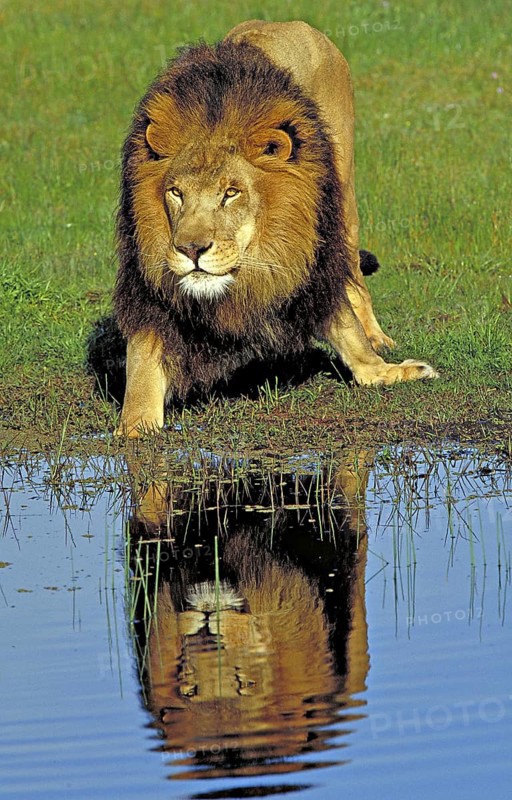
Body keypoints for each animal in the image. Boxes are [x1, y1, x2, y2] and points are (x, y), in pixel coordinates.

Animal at [114, 20, 438, 436]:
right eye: (175, 193)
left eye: (231, 193)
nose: (191, 250)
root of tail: (292, 25)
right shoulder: (149, 289)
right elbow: (143, 364)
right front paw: (136, 425)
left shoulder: (315, 259)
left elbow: (345, 324)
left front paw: (383, 370)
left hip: (344, 198)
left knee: (355, 280)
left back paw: (377, 335)